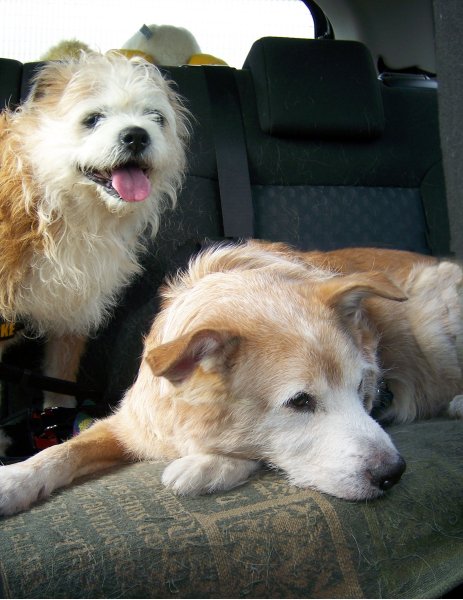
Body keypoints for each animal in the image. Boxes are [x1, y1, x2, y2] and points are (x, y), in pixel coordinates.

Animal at [0, 241, 462, 515]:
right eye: (300, 402)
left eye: (363, 390)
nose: (393, 473)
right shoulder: (133, 423)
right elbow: (63, 451)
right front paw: (15, 480)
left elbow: (251, 452)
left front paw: (205, 466)